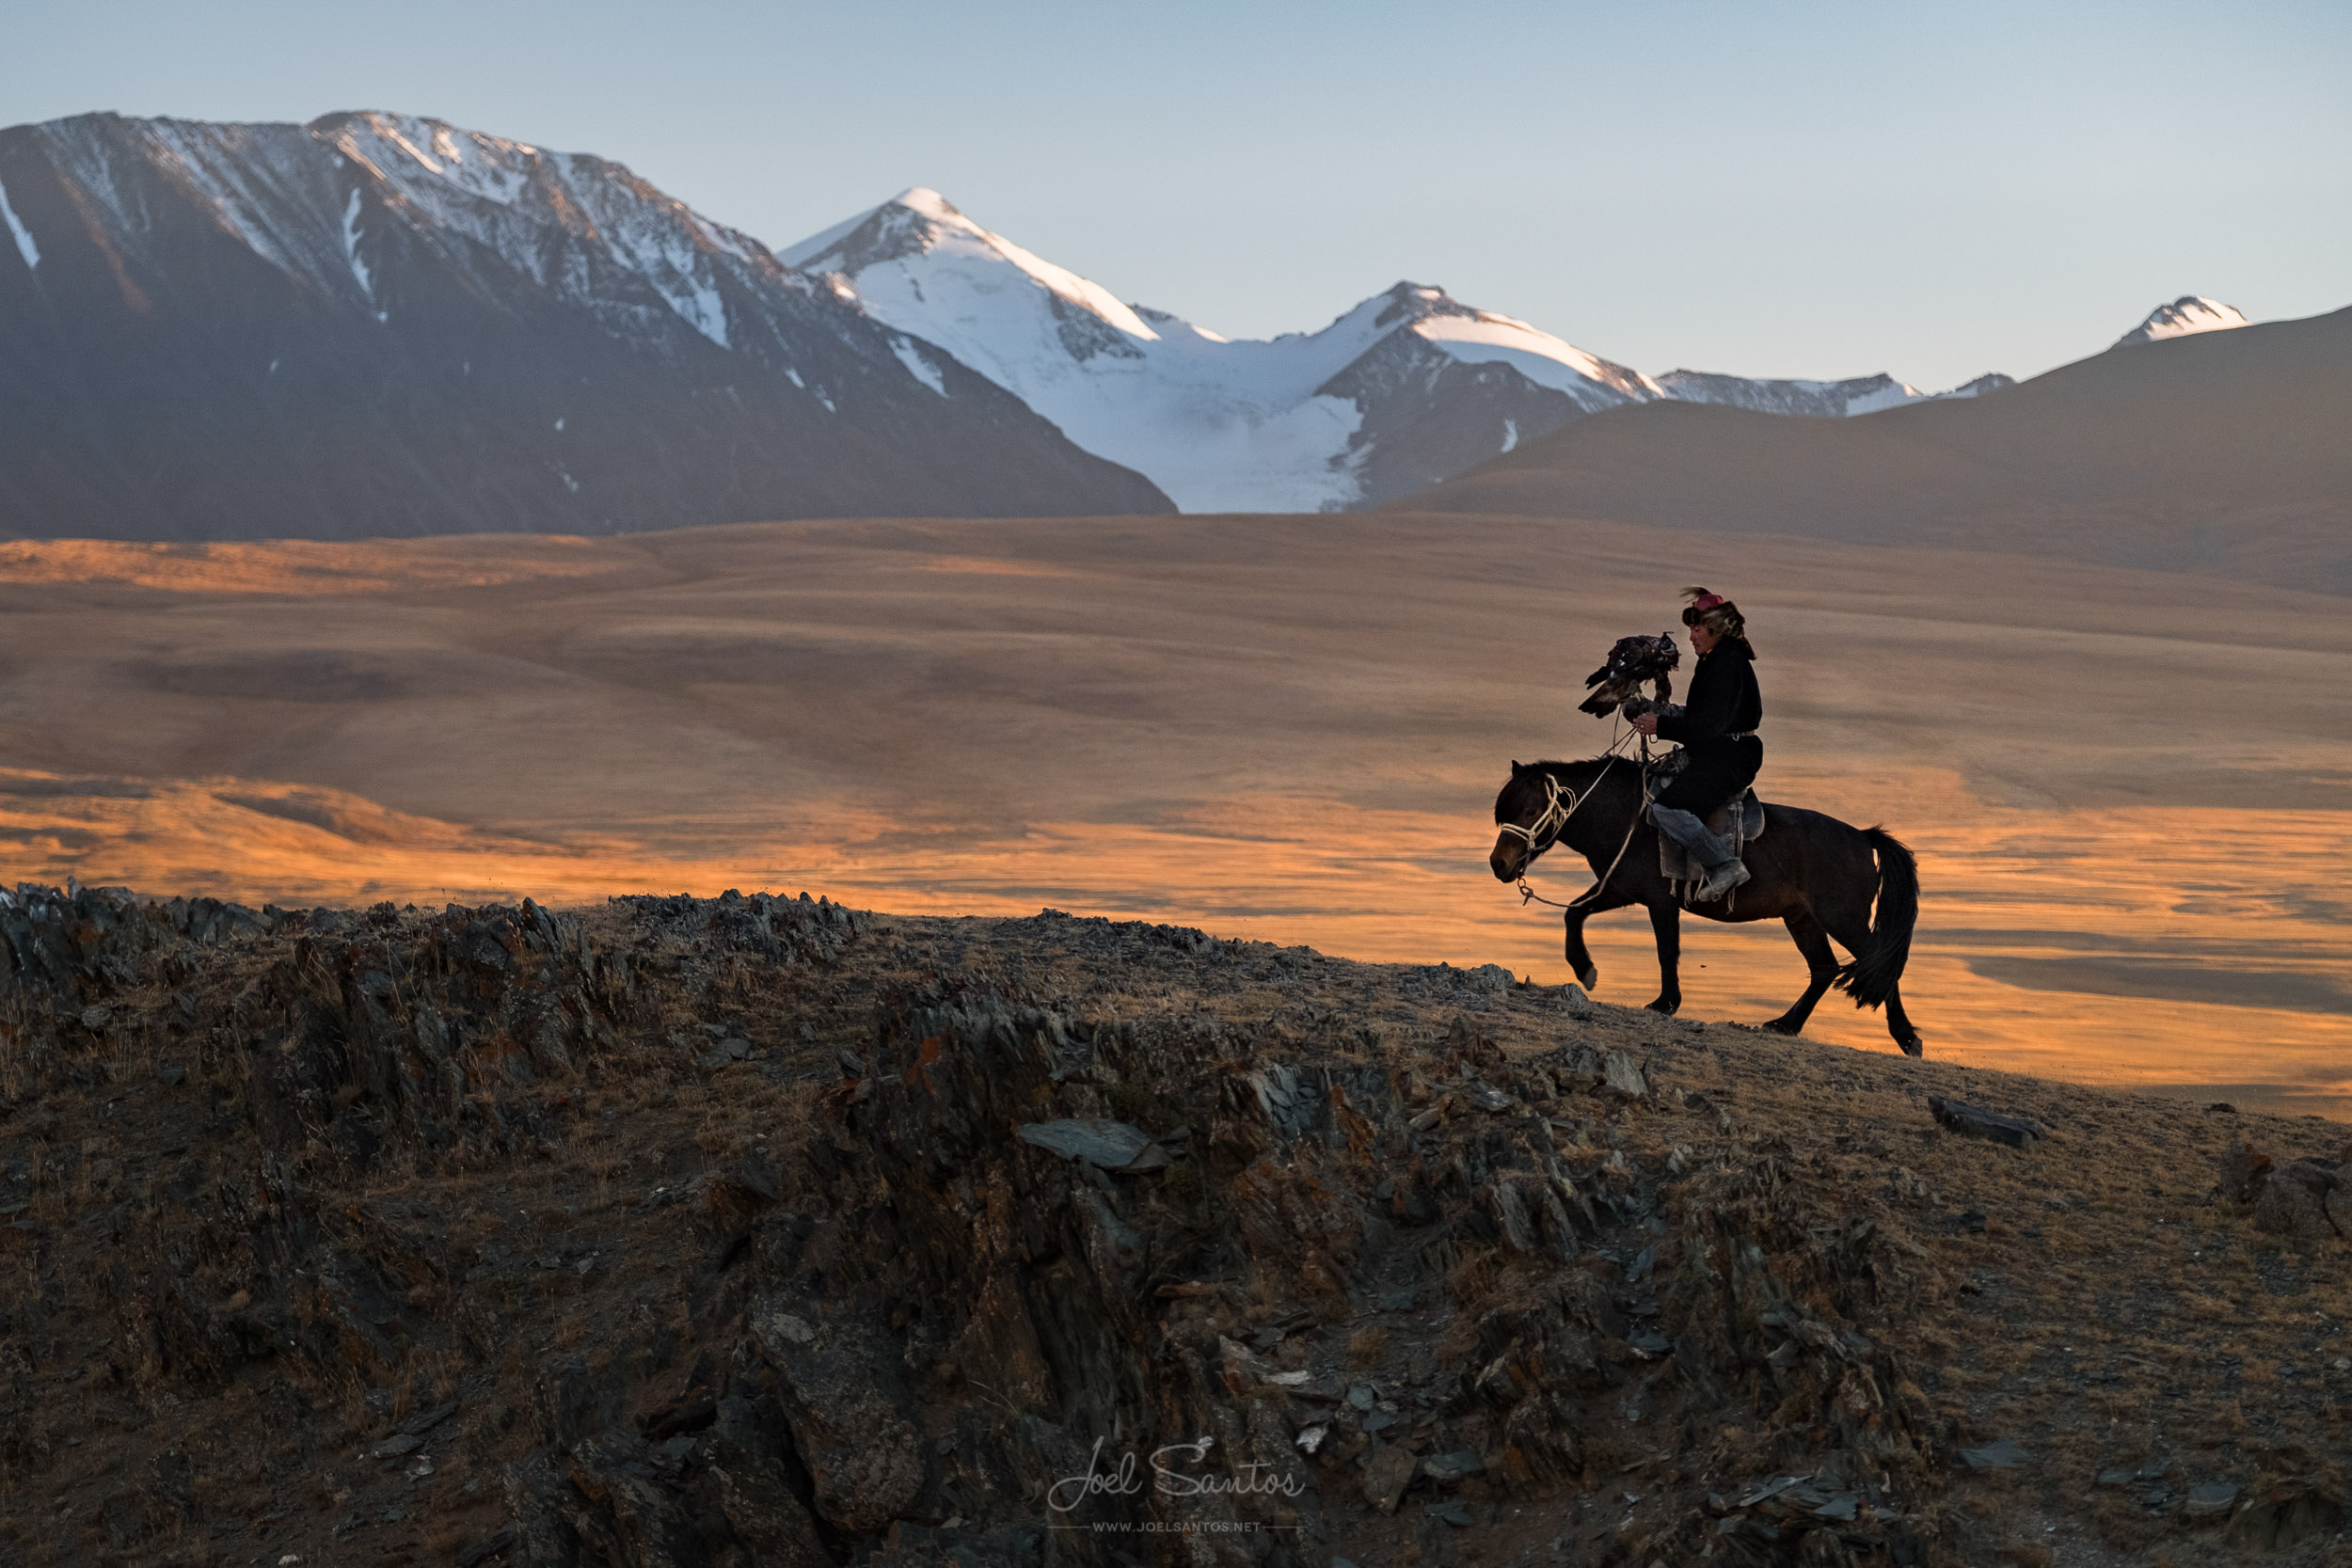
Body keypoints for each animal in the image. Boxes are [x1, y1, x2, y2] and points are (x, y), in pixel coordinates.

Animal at [1496, 756, 1919, 1053]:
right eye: (1504, 812)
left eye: (1531, 810)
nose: (1498, 864)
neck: (1628, 817)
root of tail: (1863, 838)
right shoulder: (1617, 889)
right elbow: (1574, 913)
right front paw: (1585, 970)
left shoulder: (1658, 901)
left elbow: (1667, 951)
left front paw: (1666, 1003)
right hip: (1802, 919)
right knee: (1824, 969)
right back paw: (1785, 1024)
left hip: (1842, 918)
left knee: (1878, 965)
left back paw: (1907, 1037)